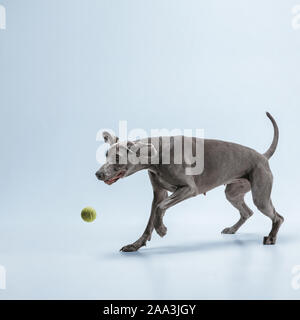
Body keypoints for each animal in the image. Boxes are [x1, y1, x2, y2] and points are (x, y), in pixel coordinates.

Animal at [96, 112, 284, 252]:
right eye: (106, 154)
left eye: (118, 157)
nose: (98, 174)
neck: (158, 154)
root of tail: (262, 156)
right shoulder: (159, 193)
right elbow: (152, 216)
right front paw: (136, 245)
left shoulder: (189, 189)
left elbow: (160, 208)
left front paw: (161, 229)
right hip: (233, 192)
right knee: (247, 212)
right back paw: (232, 229)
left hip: (260, 196)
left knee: (278, 217)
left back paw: (271, 237)